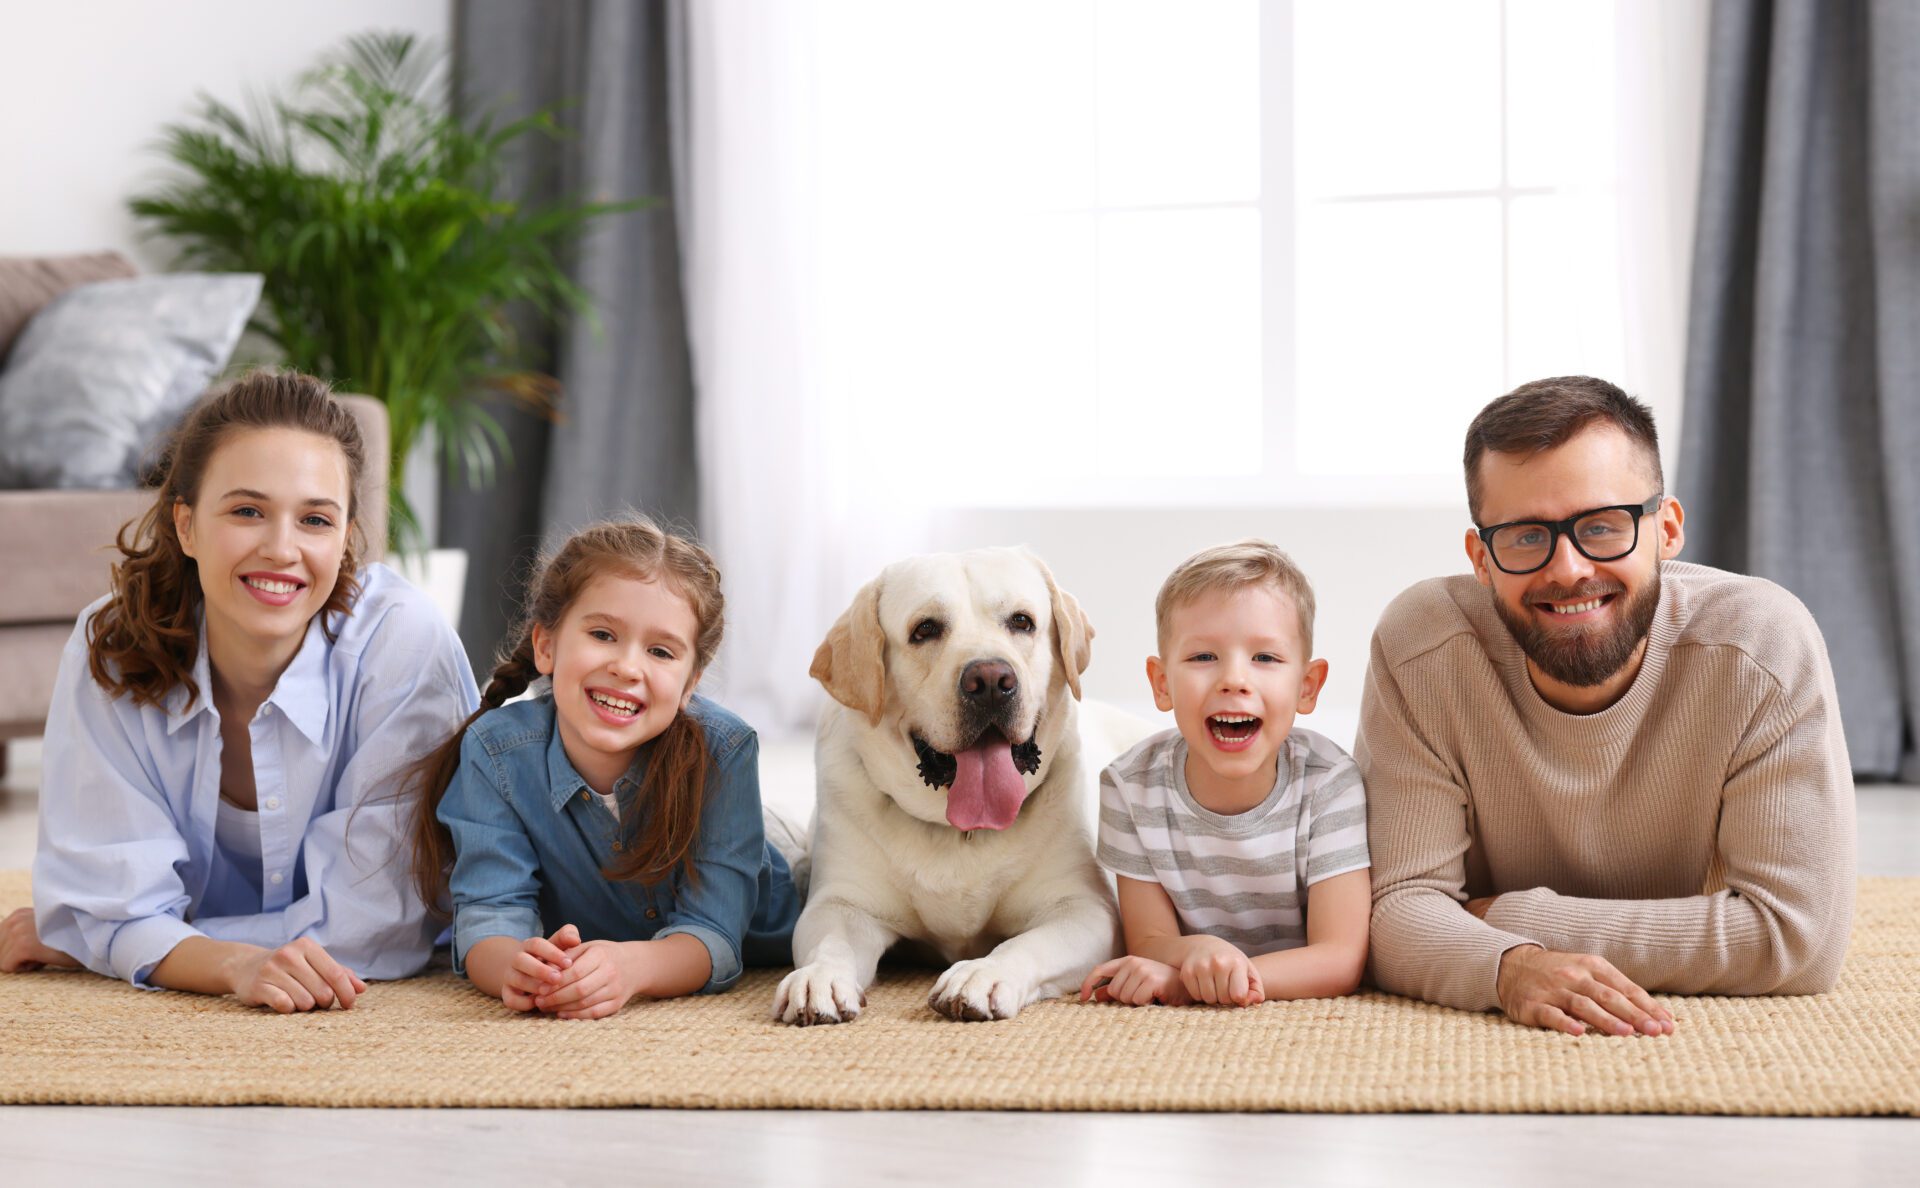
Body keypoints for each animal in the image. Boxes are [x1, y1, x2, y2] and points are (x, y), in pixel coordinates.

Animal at [768, 548, 1121, 1021]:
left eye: (1022, 621)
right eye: (925, 629)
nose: (990, 681)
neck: (958, 832)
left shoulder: (1086, 909)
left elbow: (1027, 943)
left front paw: (983, 973)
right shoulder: (841, 904)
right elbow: (830, 942)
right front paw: (820, 978)